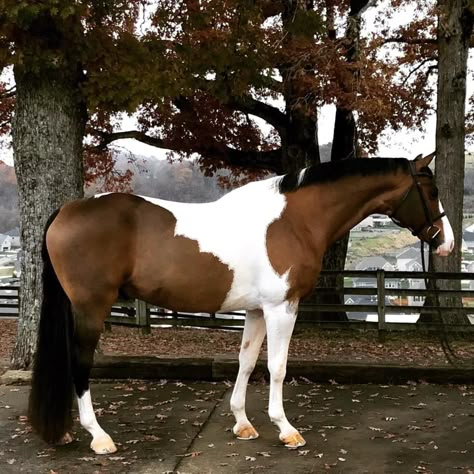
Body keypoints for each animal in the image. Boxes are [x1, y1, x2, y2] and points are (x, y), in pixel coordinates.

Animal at [29, 153, 456, 452]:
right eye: (432, 192)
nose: (447, 243)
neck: (295, 221)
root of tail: (68, 209)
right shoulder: (282, 307)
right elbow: (278, 367)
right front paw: (286, 429)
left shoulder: (255, 310)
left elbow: (247, 362)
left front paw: (242, 423)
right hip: (90, 308)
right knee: (80, 364)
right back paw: (98, 437)